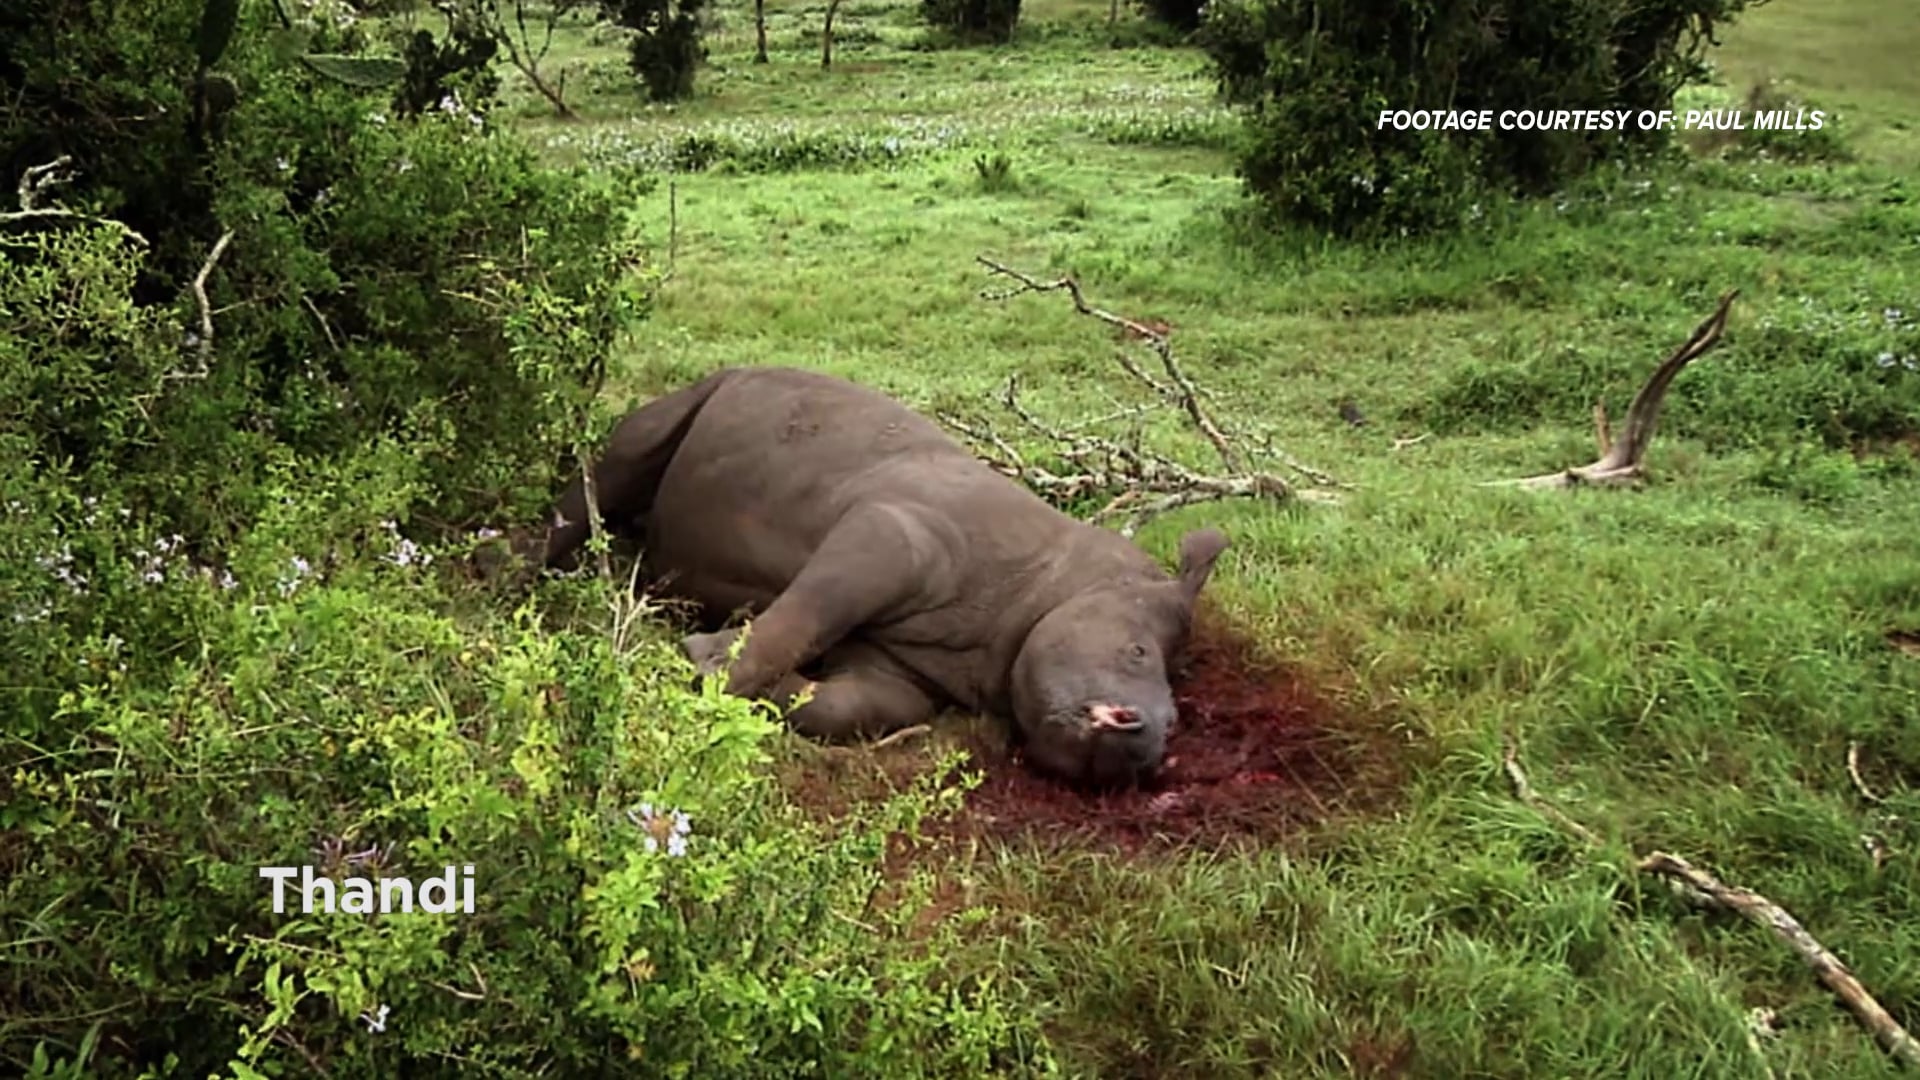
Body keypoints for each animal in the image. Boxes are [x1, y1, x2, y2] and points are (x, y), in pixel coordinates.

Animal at [538, 366, 1229, 789]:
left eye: (1174, 725)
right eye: (1137, 652)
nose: (1146, 746)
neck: (1049, 583)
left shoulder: (909, 669)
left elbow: (851, 705)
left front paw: (735, 666)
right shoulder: (898, 532)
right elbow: (814, 609)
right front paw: (708, 670)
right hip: (711, 386)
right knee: (629, 451)